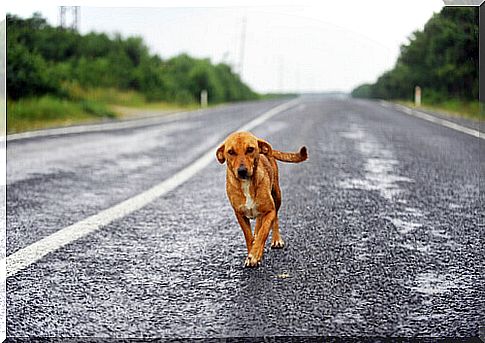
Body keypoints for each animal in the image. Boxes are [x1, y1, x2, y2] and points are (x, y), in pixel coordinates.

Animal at [216, 130, 306, 268]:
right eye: (230, 152)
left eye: (250, 149)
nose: (242, 171)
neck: (247, 184)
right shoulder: (240, 214)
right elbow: (248, 236)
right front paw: (252, 253)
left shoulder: (270, 211)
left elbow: (264, 232)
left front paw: (254, 255)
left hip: (277, 196)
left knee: (274, 220)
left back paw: (276, 240)